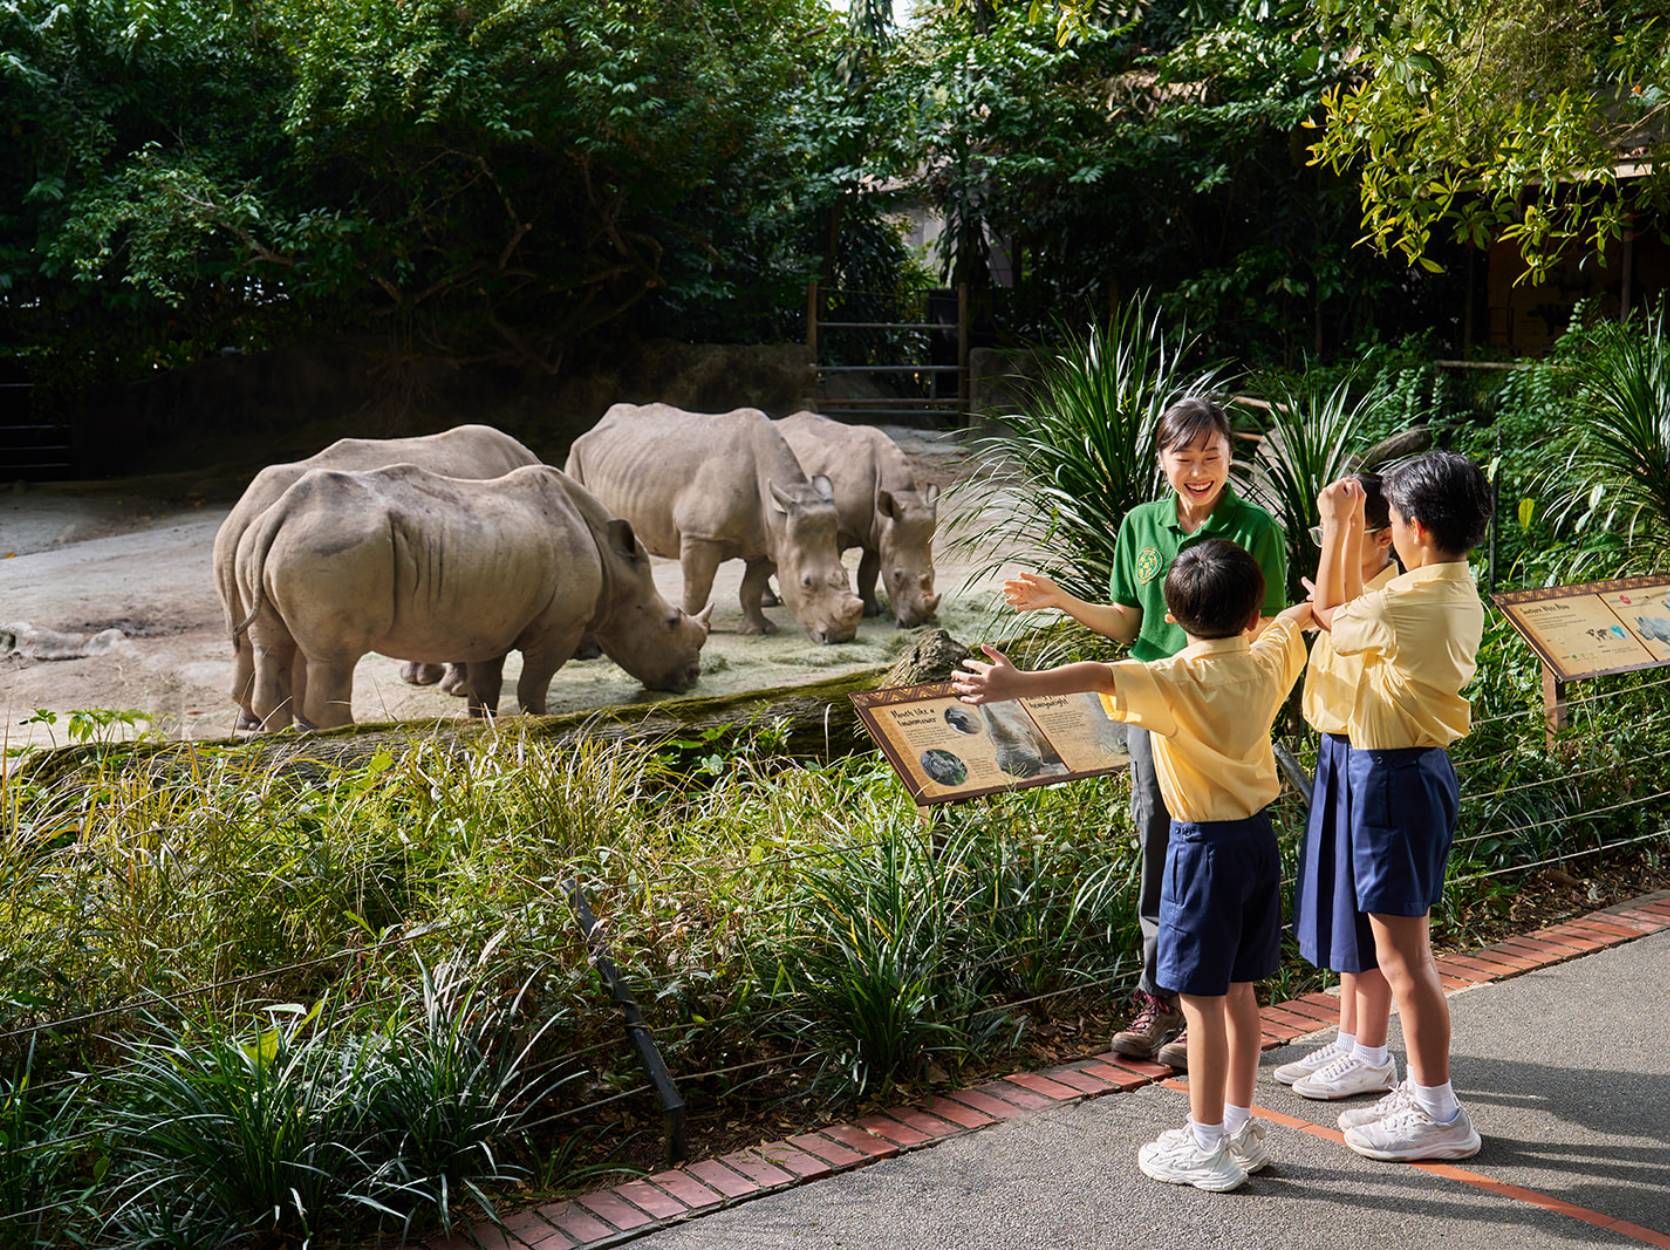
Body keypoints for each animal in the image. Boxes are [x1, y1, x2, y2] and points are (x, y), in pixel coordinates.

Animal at [214, 425, 542, 727]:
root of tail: (241, 517)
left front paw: (422, 679)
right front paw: (452, 687)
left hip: (238, 551)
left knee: (255, 640)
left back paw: (262, 723)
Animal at [231, 464, 709, 730]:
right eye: (670, 622)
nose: (692, 677)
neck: (617, 568)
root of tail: (282, 513)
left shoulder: (491, 625)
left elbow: (487, 684)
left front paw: (482, 724)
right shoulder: (559, 627)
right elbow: (534, 684)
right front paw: (543, 721)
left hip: (265, 543)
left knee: (273, 646)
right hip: (329, 546)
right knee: (334, 659)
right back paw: (344, 734)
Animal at [565, 404, 864, 643]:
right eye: (807, 583)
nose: (841, 637)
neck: (779, 514)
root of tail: (595, 425)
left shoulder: (772, 540)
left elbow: (751, 586)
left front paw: (759, 630)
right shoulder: (701, 535)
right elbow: (698, 586)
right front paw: (696, 626)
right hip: (575, 457)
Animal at [777, 412, 941, 627]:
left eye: (934, 573)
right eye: (897, 576)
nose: (917, 623)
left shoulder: (879, 531)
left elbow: (868, 572)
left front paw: (872, 611)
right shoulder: (839, 528)